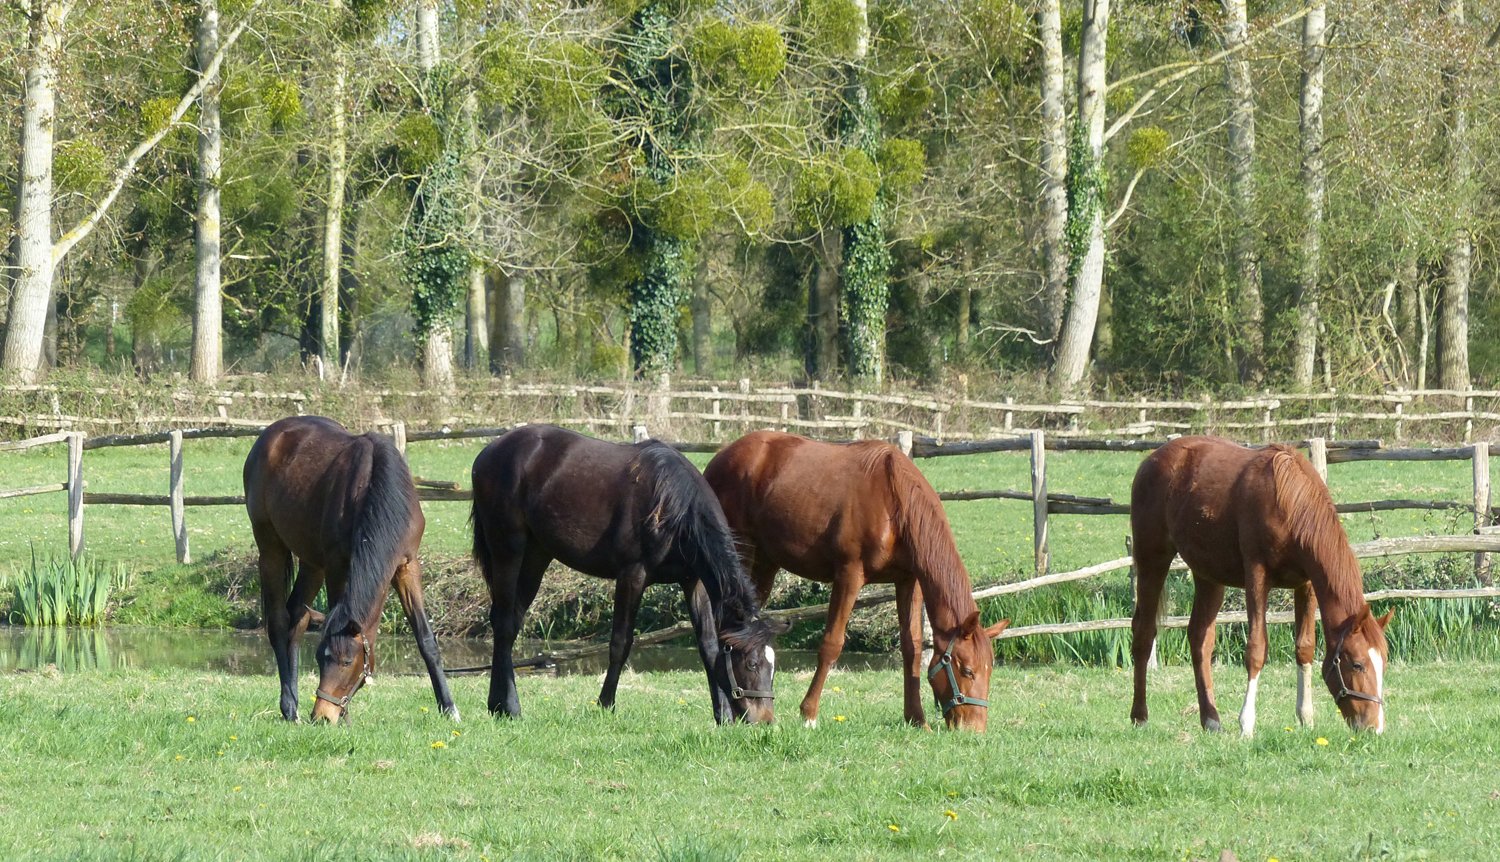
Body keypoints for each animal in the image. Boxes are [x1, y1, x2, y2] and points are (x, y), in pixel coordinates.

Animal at [243, 416, 458, 724]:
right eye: (320, 658)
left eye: (347, 661)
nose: (322, 716)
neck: (375, 489)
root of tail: (270, 436)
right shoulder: (339, 565)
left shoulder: (406, 565)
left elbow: (425, 638)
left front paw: (449, 708)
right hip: (271, 548)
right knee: (279, 621)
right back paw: (288, 706)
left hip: (312, 563)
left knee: (297, 617)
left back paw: (294, 704)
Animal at [469, 424, 782, 724]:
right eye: (752, 664)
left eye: (773, 665)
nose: (765, 720)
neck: (672, 505)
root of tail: (489, 452)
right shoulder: (632, 576)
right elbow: (620, 643)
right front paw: (605, 704)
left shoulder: (694, 583)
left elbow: (708, 646)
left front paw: (723, 715)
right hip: (508, 549)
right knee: (504, 623)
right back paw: (509, 707)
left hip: (537, 555)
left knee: (511, 622)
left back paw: (498, 704)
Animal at [704, 430, 1009, 732]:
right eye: (967, 669)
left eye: (990, 668)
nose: (974, 729)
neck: (894, 501)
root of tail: (721, 456)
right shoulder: (849, 576)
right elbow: (832, 644)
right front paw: (809, 714)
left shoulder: (908, 581)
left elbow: (911, 647)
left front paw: (917, 718)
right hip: (741, 553)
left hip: (766, 563)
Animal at [1129, 435, 1391, 736]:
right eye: (1357, 664)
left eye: (1383, 662)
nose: (1374, 727)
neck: (1288, 501)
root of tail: (1152, 459)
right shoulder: (1256, 576)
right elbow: (1256, 649)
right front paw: (1246, 724)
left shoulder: (1306, 584)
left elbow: (1304, 648)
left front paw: (1306, 717)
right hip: (1152, 560)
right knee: (1143, 632)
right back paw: (1140, 716)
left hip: (1208, 576)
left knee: (1200, 639)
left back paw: (1211, 720)